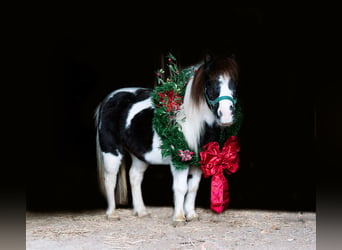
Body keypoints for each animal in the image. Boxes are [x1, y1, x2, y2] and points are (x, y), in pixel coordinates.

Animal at [93, 55, 238, 223]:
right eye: (209, 83)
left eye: (234, 82)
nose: (226, 115)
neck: (192, 122)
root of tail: (109, 99)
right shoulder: (179, 160)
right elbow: (181, 188)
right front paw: (179, 218)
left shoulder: (198, 162)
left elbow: (193, 187)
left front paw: (191, 215)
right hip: (111, 151)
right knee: (110, 179)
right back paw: (112, 214)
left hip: (140, 155)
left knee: (134, 177)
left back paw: (141, 211)